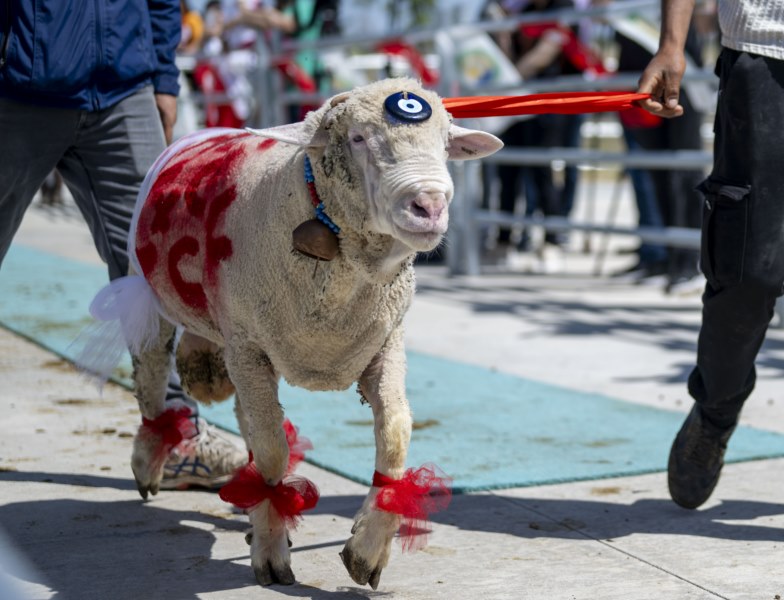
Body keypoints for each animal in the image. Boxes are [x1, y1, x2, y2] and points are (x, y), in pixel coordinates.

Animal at [87, 77, 502, 588]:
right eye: (358, 138)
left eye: (445, 143)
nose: (429, 205)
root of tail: (207, 129)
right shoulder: (250, 347)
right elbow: (271, 451)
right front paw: (270, 552)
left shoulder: (381, 344)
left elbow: (395, 433)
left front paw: (367, 548)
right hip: (156, 298)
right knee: (149, 377)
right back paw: (149, 462)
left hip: (235, 336)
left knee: (243, 413)